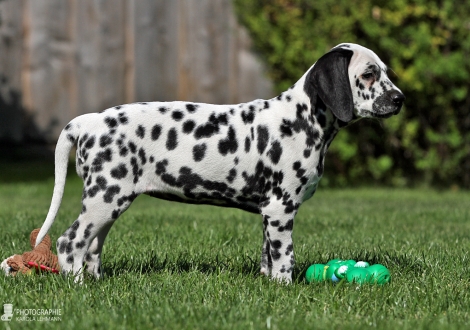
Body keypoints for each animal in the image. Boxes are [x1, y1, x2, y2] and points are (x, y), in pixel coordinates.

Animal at [35, 42, 404, 282]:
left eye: (385, 72)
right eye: (369, 74)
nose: (400, 99)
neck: (302, 118)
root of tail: (88, 122)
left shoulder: (269, 213)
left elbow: (268, 257)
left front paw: (268, 285)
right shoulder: (281, 209)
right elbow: (285, 258)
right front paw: (285, 288)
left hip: (110, 203)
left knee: (92, 247)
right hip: (105, 198)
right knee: (71, 242)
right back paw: (77, 285)